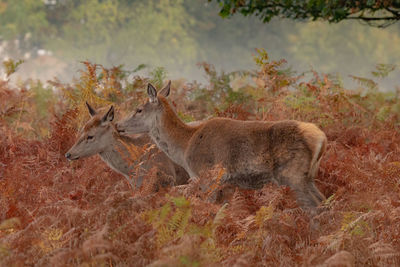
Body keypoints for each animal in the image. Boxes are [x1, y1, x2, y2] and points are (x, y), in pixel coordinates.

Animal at [116, 81, 328, 209]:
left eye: (139, 109)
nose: (118, 125)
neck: (185, 146)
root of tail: (321, 138)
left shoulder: (207, 177)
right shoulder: (226, 185)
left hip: (292, 174)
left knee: (315, 206)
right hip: (308, 176)